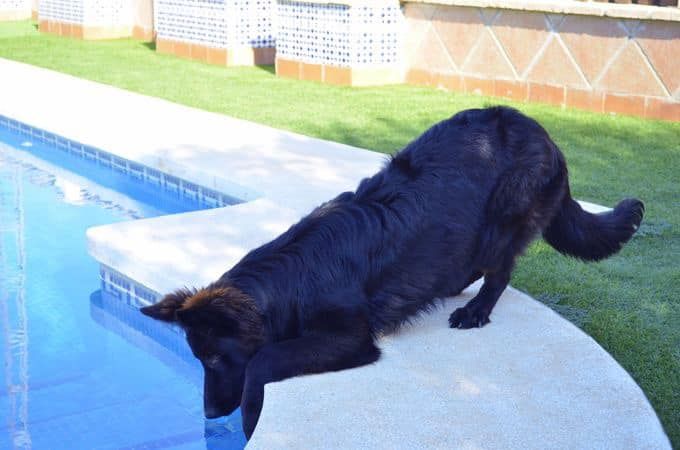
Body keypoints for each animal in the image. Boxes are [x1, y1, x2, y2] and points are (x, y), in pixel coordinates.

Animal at [141, 106, 644, 439]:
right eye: (198, 359)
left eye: (213, 359)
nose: (208, 415)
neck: (293, 277)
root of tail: (545, 136)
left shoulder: (350, 336)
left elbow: (264, 358)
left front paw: (251, 418)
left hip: (504, 218)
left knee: (500, 271)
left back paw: (476, 310)